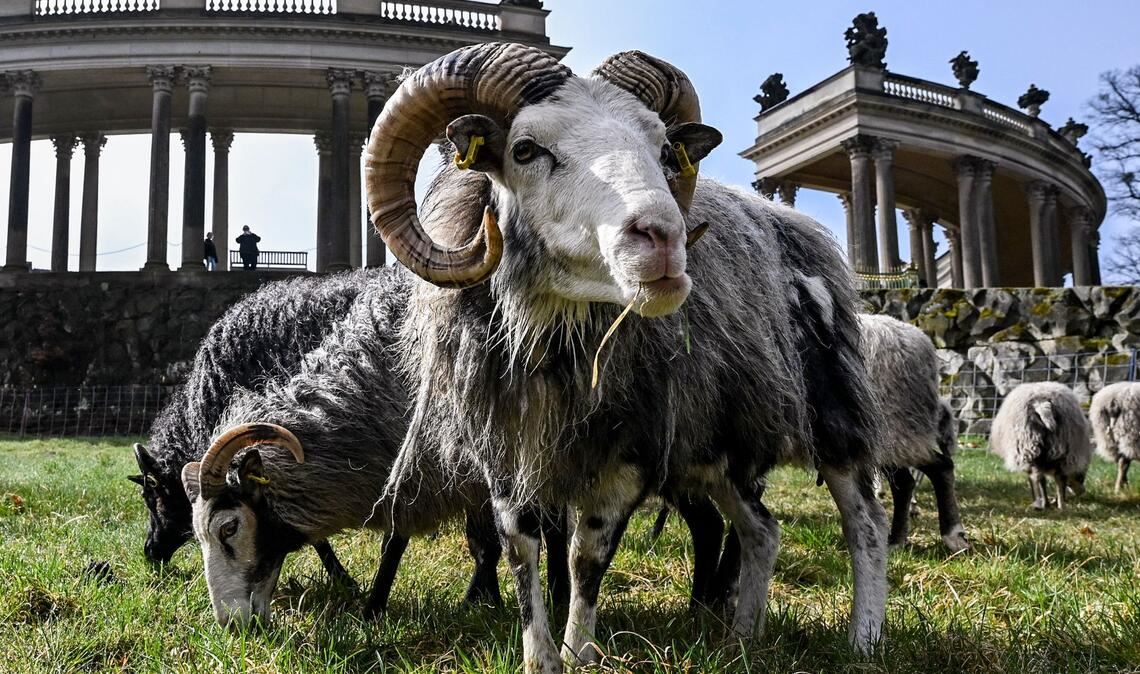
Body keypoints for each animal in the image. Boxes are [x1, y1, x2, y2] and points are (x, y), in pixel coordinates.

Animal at [180, 266, 568, 626]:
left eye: (229, 528)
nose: (232, 625)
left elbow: (400, 544)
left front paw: (374, 609)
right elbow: (472, 540)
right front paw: (481, 600)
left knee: (557, 523)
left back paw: (559, 597)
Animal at [366, 42, 887, 673]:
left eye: (664, 151)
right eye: (525, 149)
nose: (664, 239)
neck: (559, 350)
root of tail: (798, 227)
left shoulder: (629, 449)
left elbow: (585, 559)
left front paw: (582, 654)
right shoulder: (505, 450)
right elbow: (520, 553)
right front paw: (541, 659)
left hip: (833, 410)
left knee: (865, 522)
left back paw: (864, 639)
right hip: (720, 439)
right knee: (761, 528)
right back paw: (743, 637)